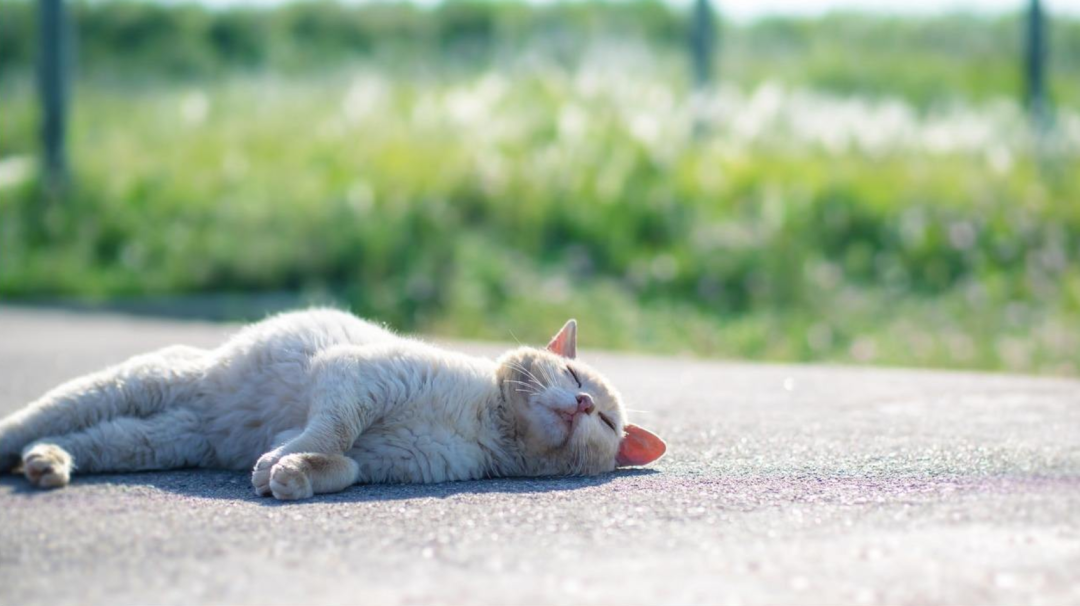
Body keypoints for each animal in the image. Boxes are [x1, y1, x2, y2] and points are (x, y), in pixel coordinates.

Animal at [0, 308, 665, 499]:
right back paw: (23, 451)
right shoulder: (355, 380)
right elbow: (332, 433)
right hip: (142, 383)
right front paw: (283, 463)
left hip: (155, 442)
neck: (487, 427)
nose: (582, 401)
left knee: (90, 442)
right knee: (37, 418)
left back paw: (47, 463)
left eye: (605, 420)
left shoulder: (384, 461)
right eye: (572, 373)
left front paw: (289, 474)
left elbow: (339, 464)